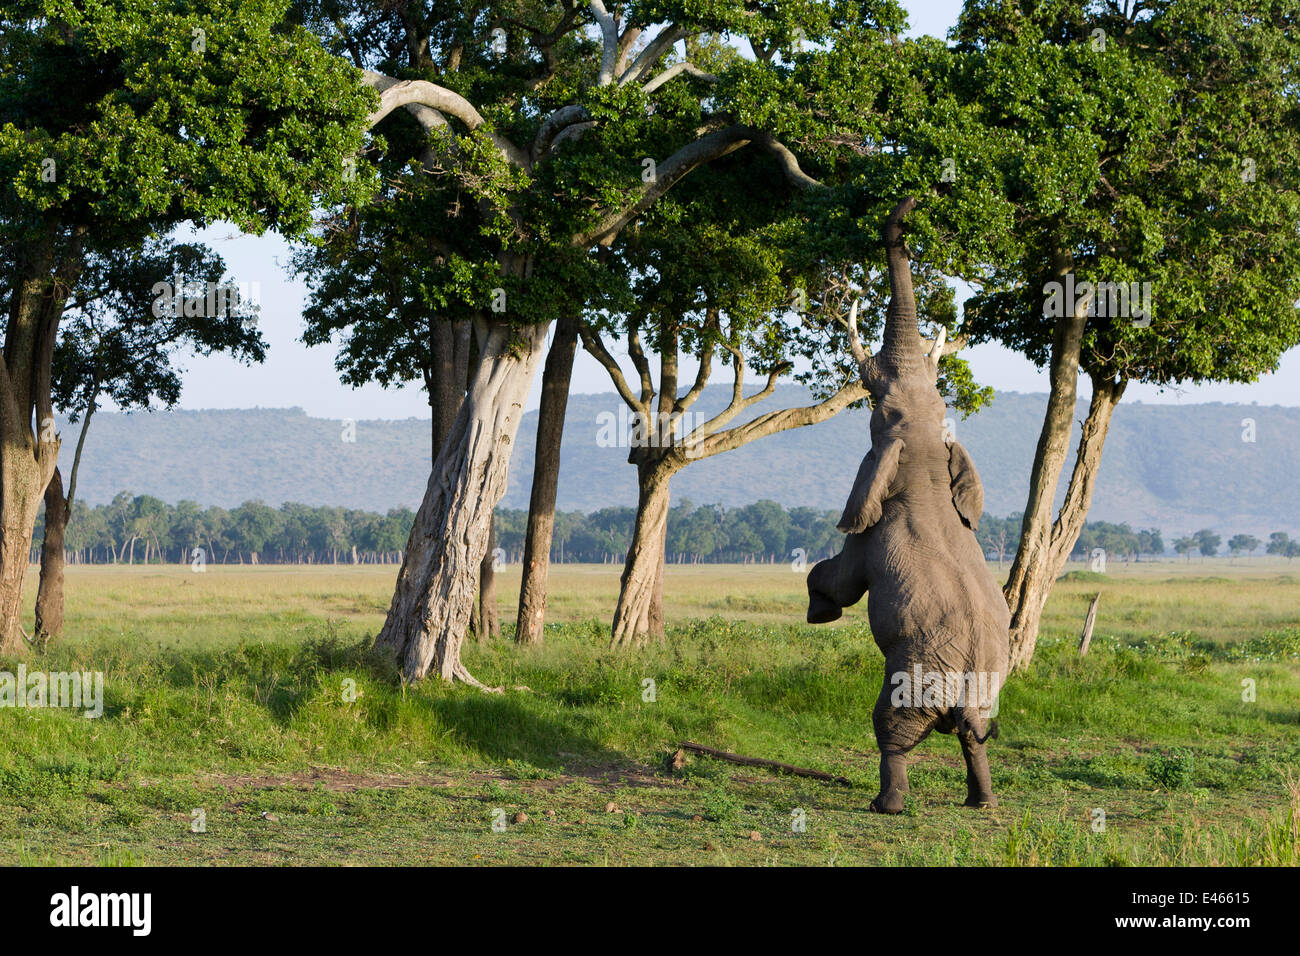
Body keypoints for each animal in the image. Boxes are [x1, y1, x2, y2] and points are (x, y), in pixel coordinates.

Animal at [806, 196, 1010, 814]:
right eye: (941, 407)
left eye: (880, 409)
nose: (915, 201)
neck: (923, 465)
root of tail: (964, 691)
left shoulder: (872, 535)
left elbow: (841, 576)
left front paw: (819, 611)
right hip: (984, 690)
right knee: (975, 737)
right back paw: (981, 803)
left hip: (914, 679)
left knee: (891, 730)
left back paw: (886, 804)